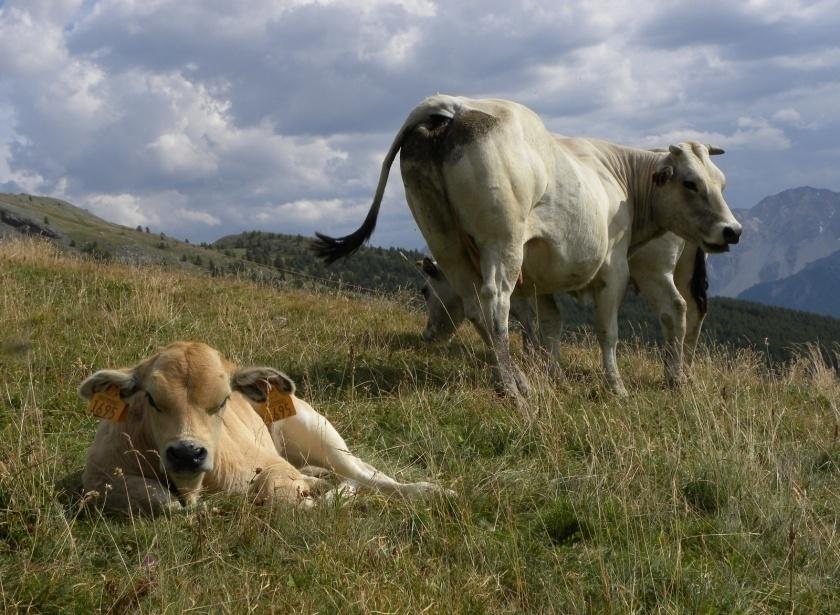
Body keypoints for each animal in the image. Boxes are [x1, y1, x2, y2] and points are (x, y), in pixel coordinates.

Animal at [78, 342, 446, 516]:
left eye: (224, 400)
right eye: (151, 398)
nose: (187, 453)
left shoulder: (272, 467)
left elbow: (285, 498)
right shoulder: (96, 477)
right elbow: (159, 499)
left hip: (318, 432)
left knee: (366, 474)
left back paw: (431, 491)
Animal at [416, 231, 704, 384]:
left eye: (425, 290)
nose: (427, 335)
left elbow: (525, 316)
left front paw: (532, 352)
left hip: (652, 269)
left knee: (674, 309)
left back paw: (673, 376)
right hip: (684, 272)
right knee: (694, 313)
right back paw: (686, 369)